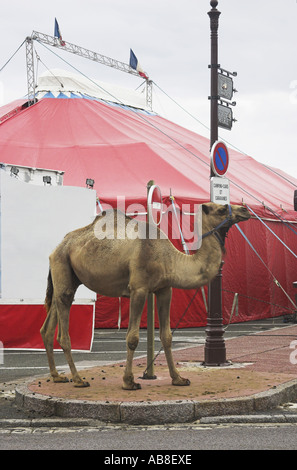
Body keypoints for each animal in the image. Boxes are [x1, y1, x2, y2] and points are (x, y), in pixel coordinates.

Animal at [40, 202, 249, 390]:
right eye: (222, 209)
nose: (245, 209)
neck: (169, 258)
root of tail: (56, 248)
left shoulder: (165, 289)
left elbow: (166, 336)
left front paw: (179, 378)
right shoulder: (138, 288)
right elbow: (132, 338)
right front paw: (129, 382)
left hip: (67, 278)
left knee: (49, 325)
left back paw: (57, 376)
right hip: (63, 266)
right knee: (63, 329)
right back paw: (78, 379)